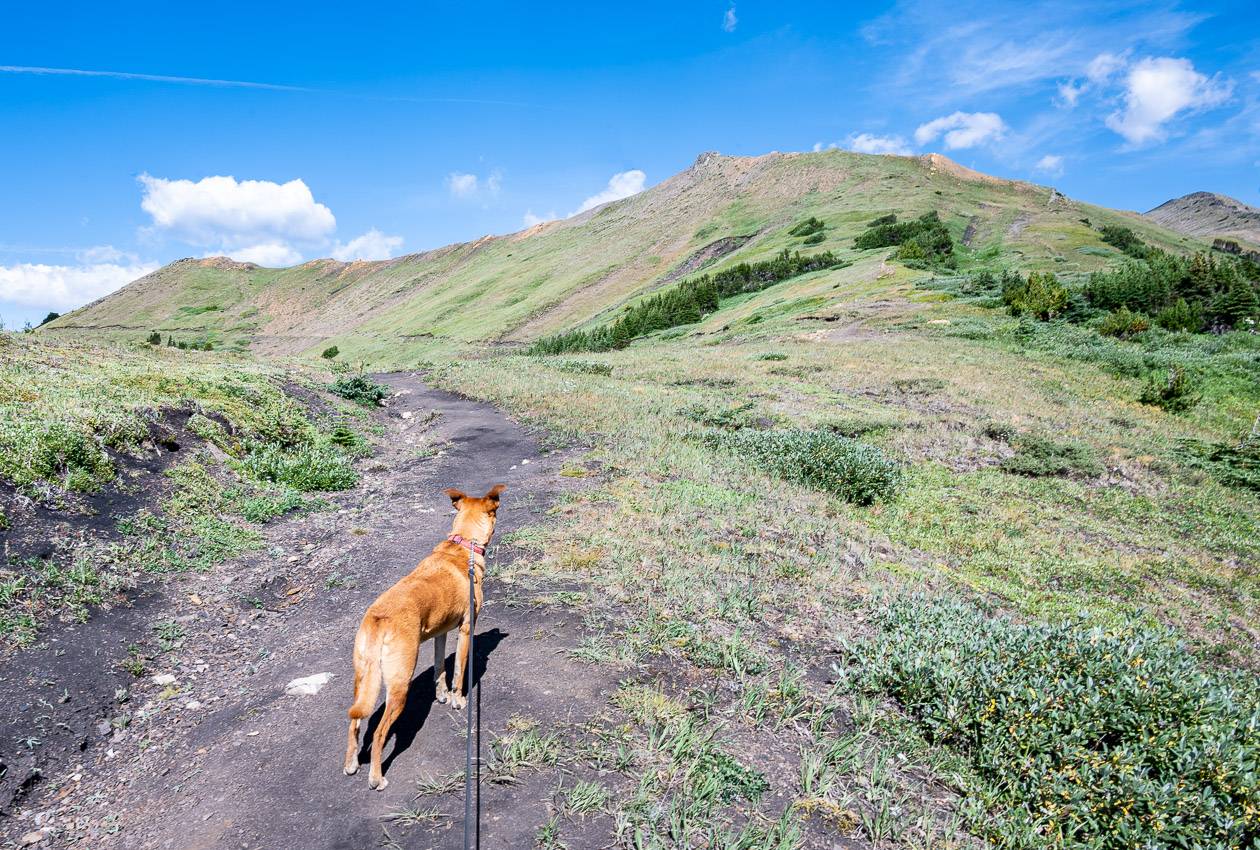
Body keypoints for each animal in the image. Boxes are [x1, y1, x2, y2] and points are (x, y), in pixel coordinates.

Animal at [345, 486, 506, 790]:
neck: (463, 546)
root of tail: (379, 620)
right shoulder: (466, 629)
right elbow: (459, 672)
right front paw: (457, 700)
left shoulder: (439, 633)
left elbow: (441, 668)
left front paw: (441, 694)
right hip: (398, 684)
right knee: (380, 733)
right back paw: (376, 777)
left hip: (362, 679)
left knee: (355, 721)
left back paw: (350, 764)